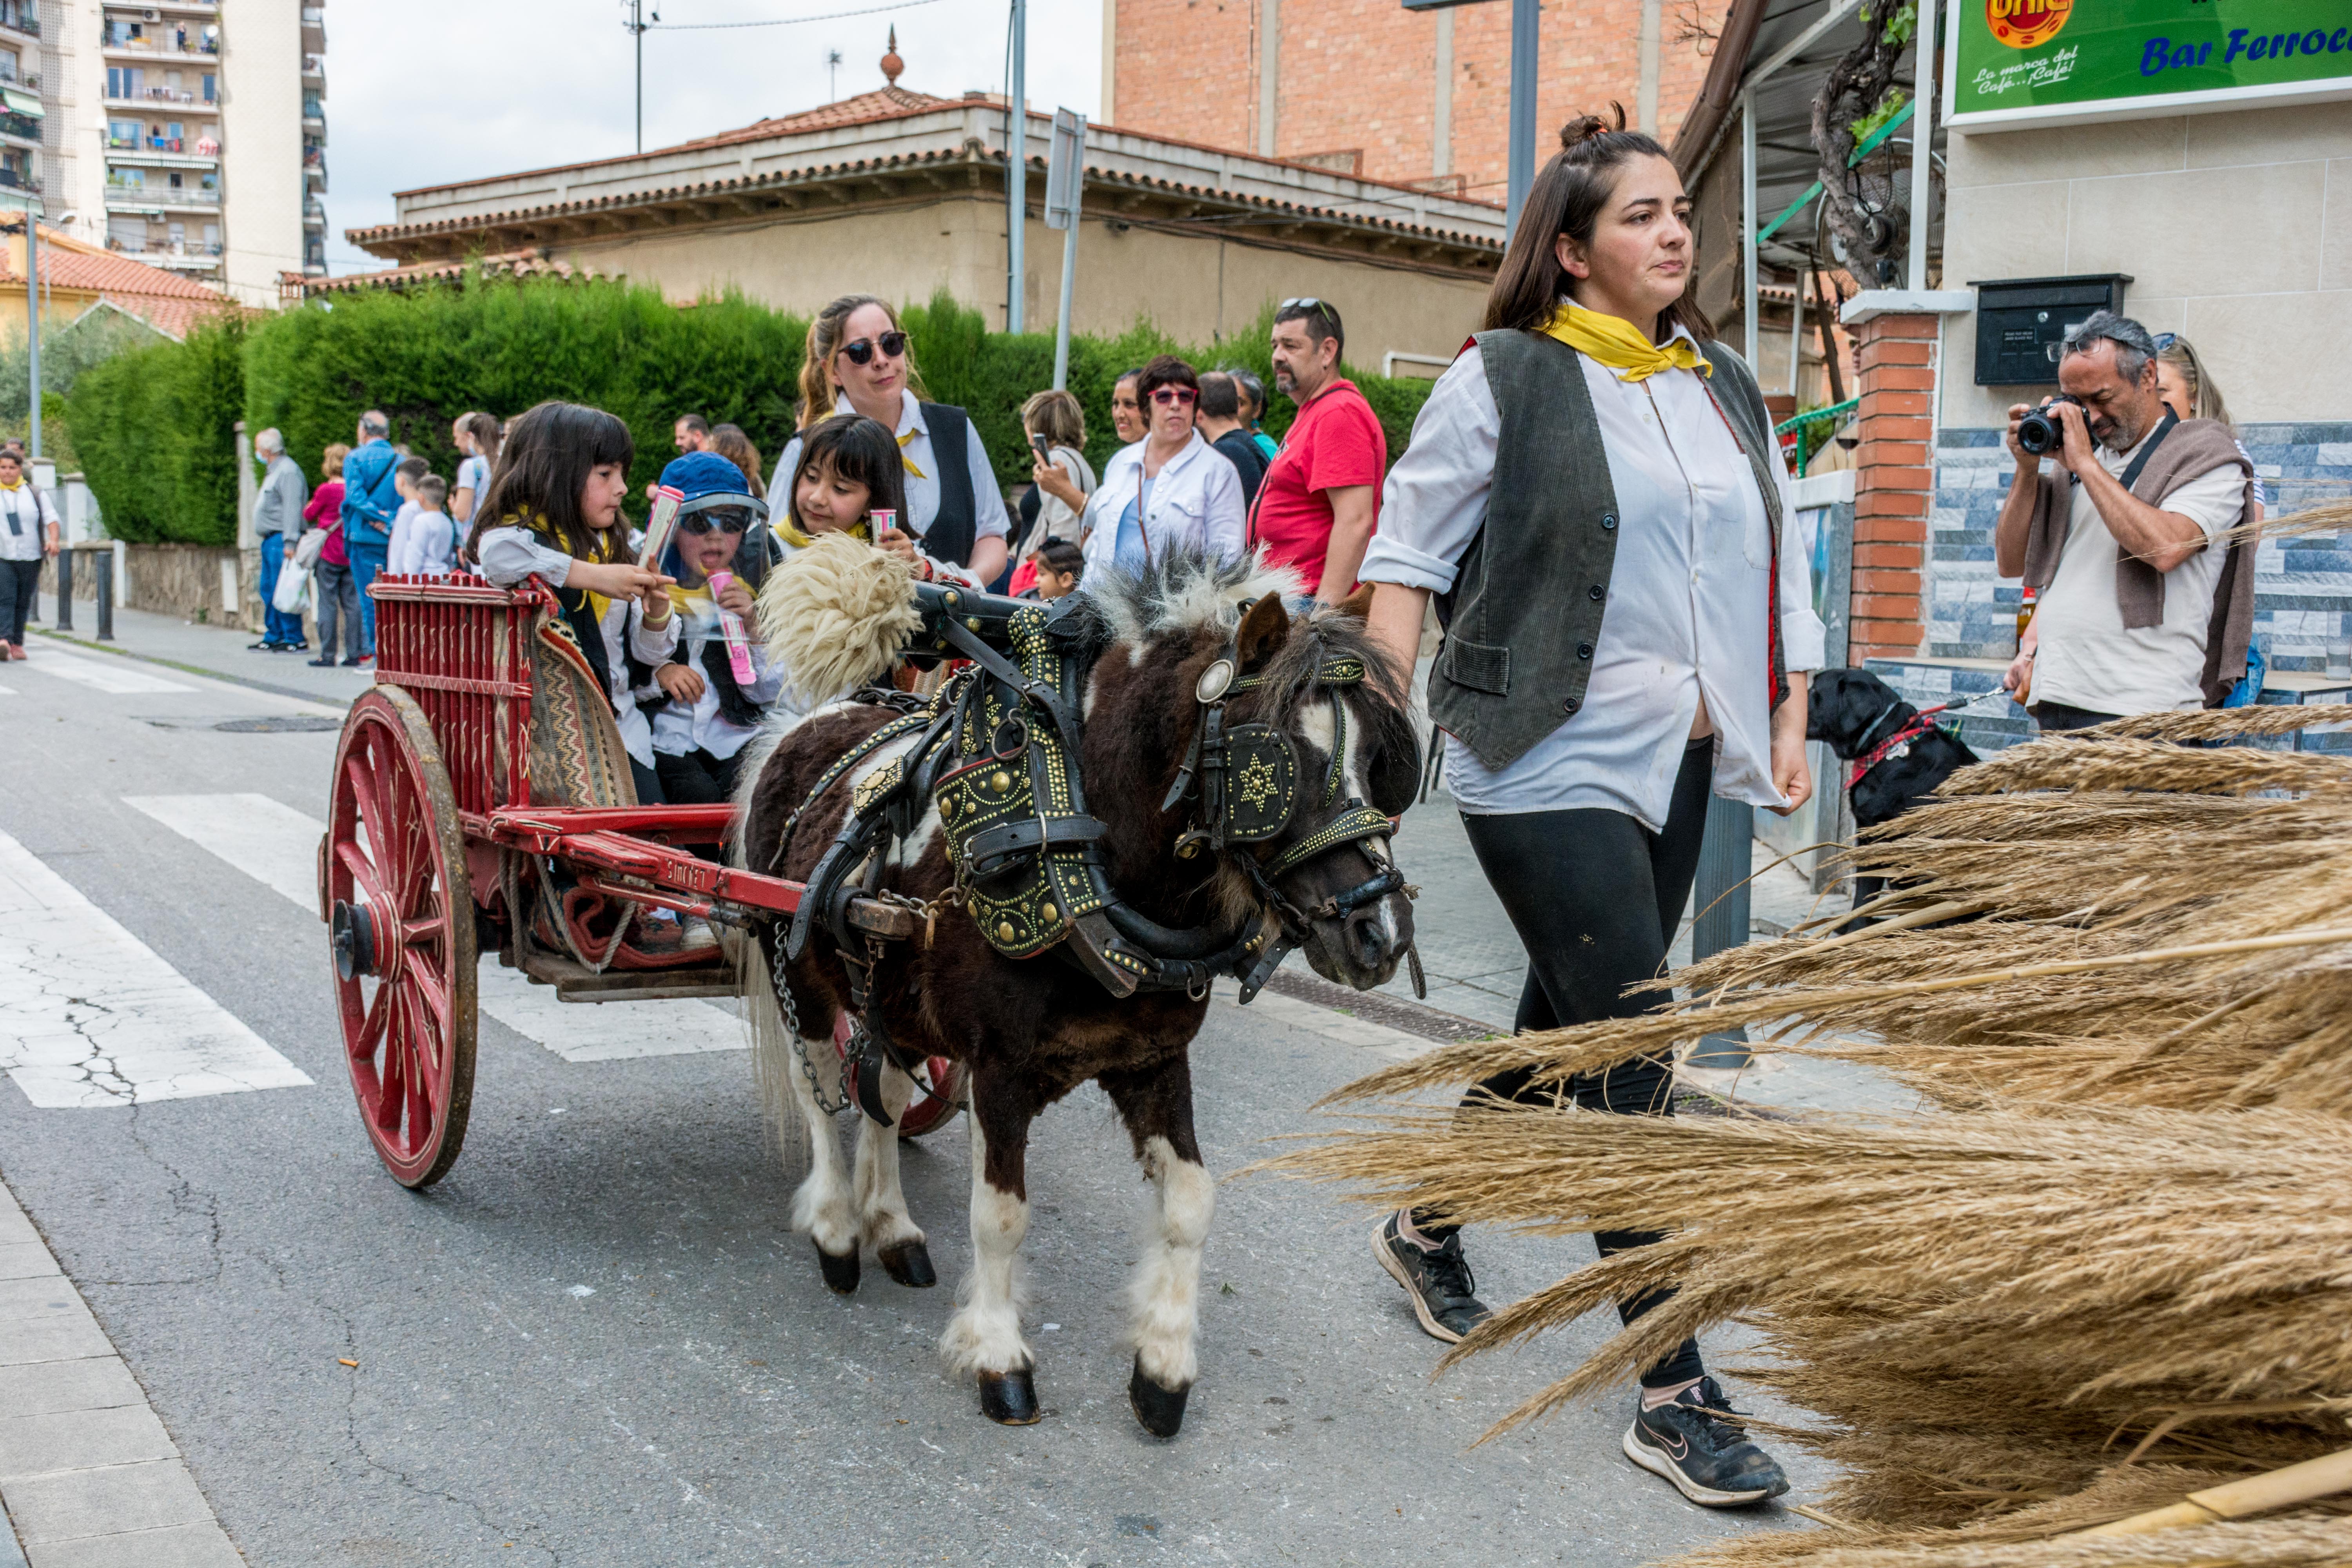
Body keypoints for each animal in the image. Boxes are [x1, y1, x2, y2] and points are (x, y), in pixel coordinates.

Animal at [734, 552, 1411, 1439]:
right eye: (1280, 762)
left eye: (1378, 760)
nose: (1381, 934)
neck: (1081, 845)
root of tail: (801, 723)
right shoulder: (999, 1070)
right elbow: (1001, 1216)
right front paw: (999, 1356)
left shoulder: (1152, 1059)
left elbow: (1192, 1202)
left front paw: (1163, 1367)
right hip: (802, 971)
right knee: (819, 1089)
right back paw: (840, 1230)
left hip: (892, 996)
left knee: (881, 1093)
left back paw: (895, 1228)